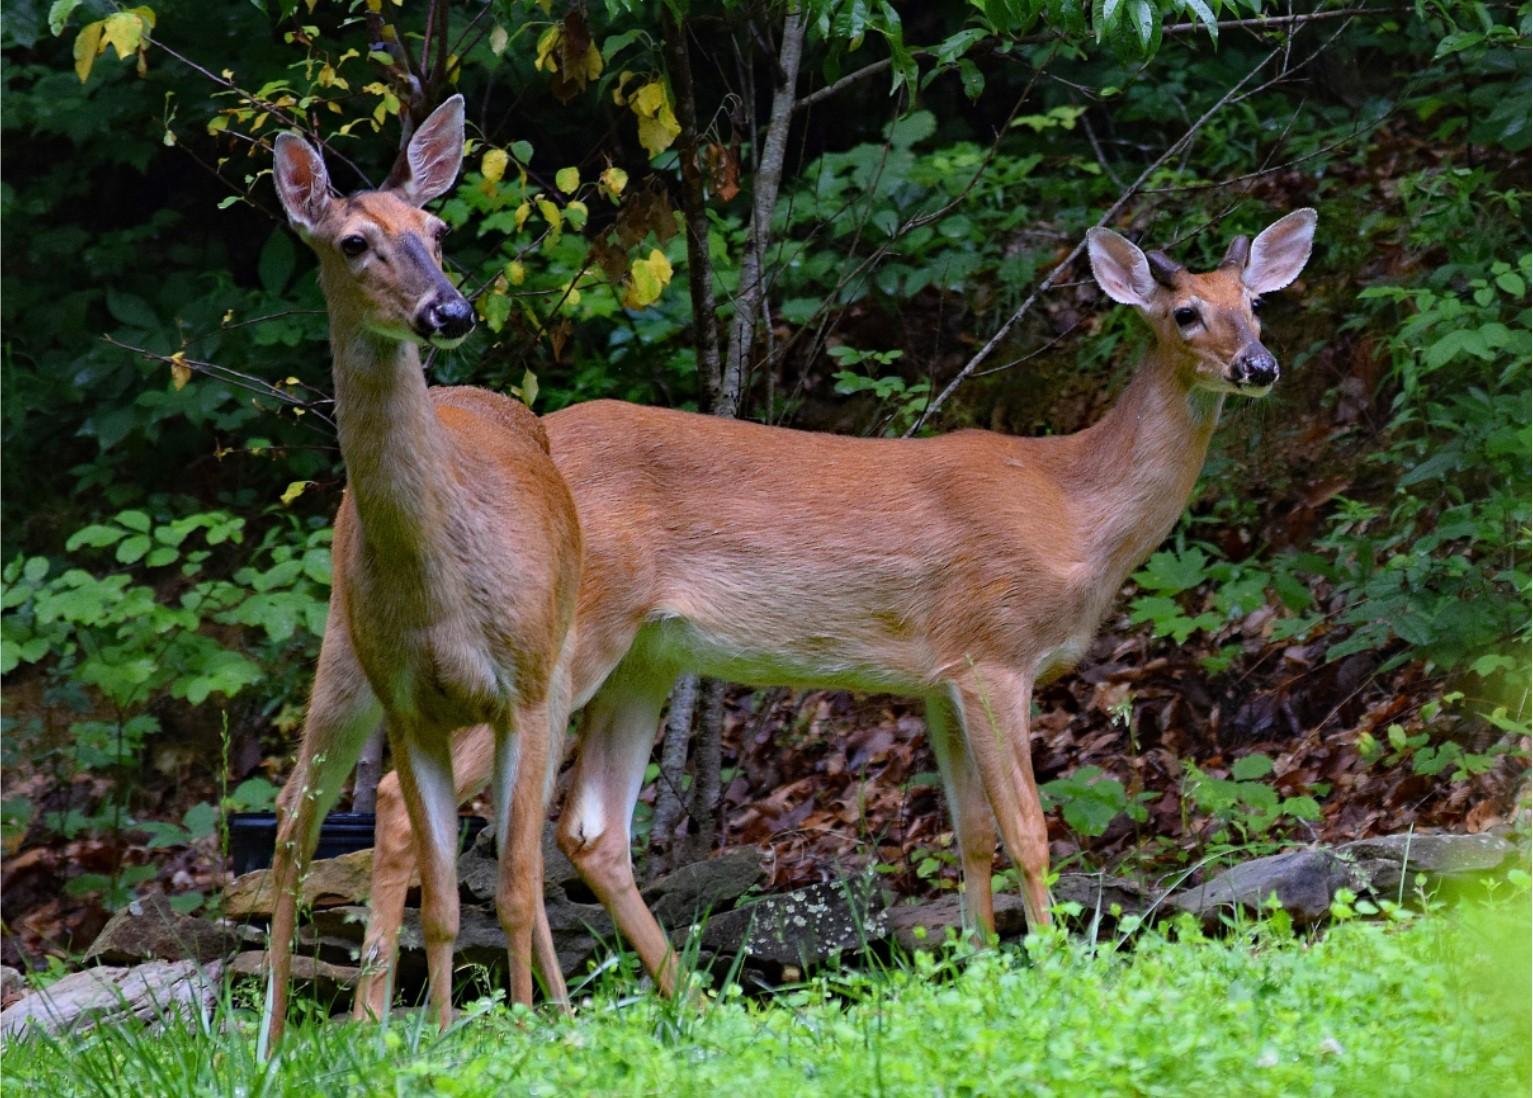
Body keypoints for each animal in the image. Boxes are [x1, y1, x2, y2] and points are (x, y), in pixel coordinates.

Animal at [263, 96, 579, 1048]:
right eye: (353, 242)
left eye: (437, 231)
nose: (450, 311)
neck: (442, 585)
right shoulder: (410, 702)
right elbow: (440, 902)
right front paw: (440, 1039)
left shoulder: (522, 687)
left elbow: (506, 888)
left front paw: (518, 1031)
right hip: (342, 655)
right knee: (293, 816)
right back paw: (266, 1039)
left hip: (556, 675)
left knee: (527, 855)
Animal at [347, 200, 1318, 1018]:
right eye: (1185, 313)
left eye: (1256, 305)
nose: (1260, 365)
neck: (1072, 506)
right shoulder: (995, 652)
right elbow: (1028, 832)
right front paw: (1052, 974)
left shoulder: (939, 677)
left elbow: (971, 834)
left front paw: (981, 969)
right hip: (552, 644)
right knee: (404, 799)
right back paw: (389, 1021)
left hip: (645, 656)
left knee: (587, 827)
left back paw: (685, 1004)